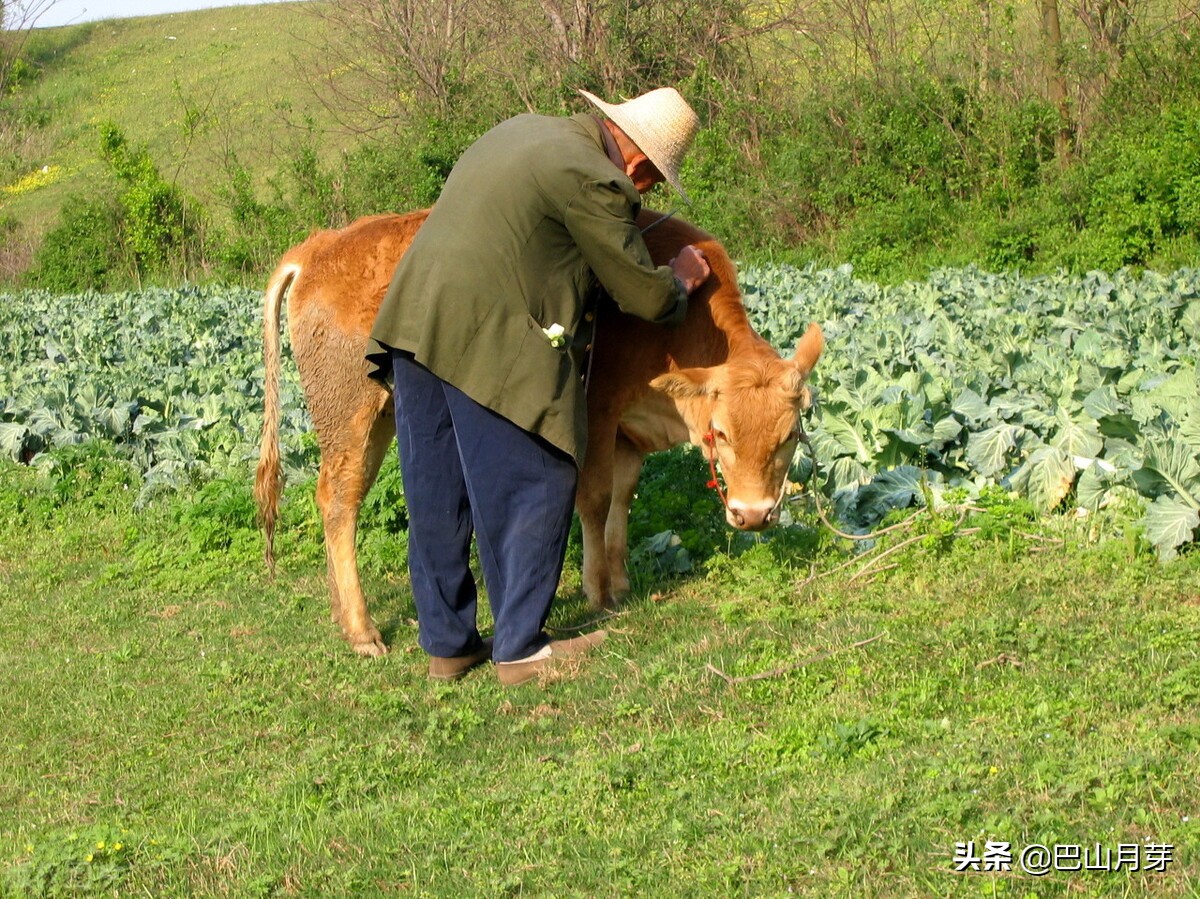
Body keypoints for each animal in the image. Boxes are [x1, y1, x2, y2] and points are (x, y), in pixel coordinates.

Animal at [256, 206, 820, 657]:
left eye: (790, 436)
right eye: (722, 434)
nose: (753, 515)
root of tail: (322, 245)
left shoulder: (630, 433)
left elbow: (622, 499)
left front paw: (620, 581)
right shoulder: (597, 410)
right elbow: (594, 499)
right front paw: (597, 590)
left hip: (379, 418)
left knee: (337, 497)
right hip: (350, 411)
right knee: (340, 500)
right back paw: (362, 630)